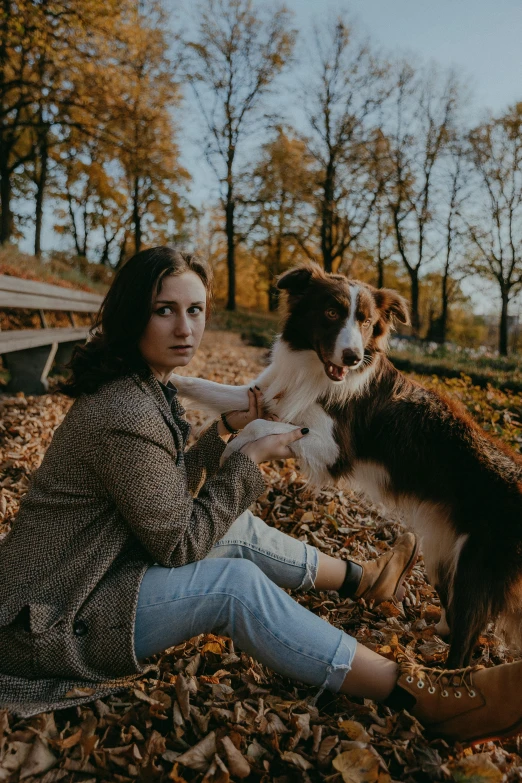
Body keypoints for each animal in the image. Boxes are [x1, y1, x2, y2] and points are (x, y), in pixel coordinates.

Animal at [175, 264, 520, 668]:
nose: (353, 357)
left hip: (476, 571)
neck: (313, 369)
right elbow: (208, 387)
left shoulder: (334, 447)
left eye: (367, 321)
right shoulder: (263, 396)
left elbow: (259, 428)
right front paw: (164, 375)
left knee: (466, 642)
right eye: (331, 312)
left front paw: (235, 449)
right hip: (443, 554)